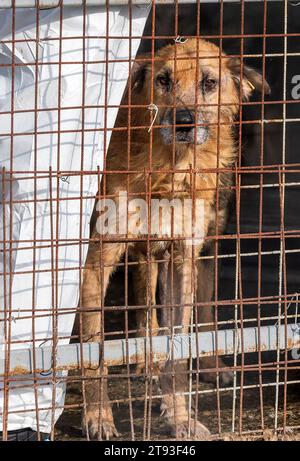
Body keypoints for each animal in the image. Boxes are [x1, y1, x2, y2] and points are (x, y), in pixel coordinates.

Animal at [80, 39, 270, 438]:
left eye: (209, 82)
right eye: (164, 79)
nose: (185, 121)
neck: (172, 167)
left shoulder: (184, 256)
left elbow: (179, 349)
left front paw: (179, 415)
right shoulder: (99, 258)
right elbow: (93, 351)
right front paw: (98, 417)